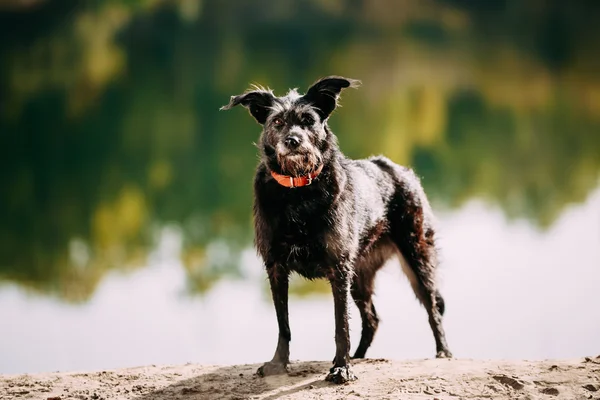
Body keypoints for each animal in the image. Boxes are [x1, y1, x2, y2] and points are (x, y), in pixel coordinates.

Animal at [223, 76, 452, 384]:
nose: (292, 141)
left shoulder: (339, 269)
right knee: (372, 319)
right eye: (277, 122)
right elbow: (284, 324)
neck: (298, 191)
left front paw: (342, 367)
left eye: (308, 120)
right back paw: (360, 356)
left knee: (432, 308)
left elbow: (340, 325)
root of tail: (401, 171)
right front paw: (278, 363)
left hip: (417, 257)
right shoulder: (276, 268)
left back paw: (443, 351)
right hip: (361, 275)